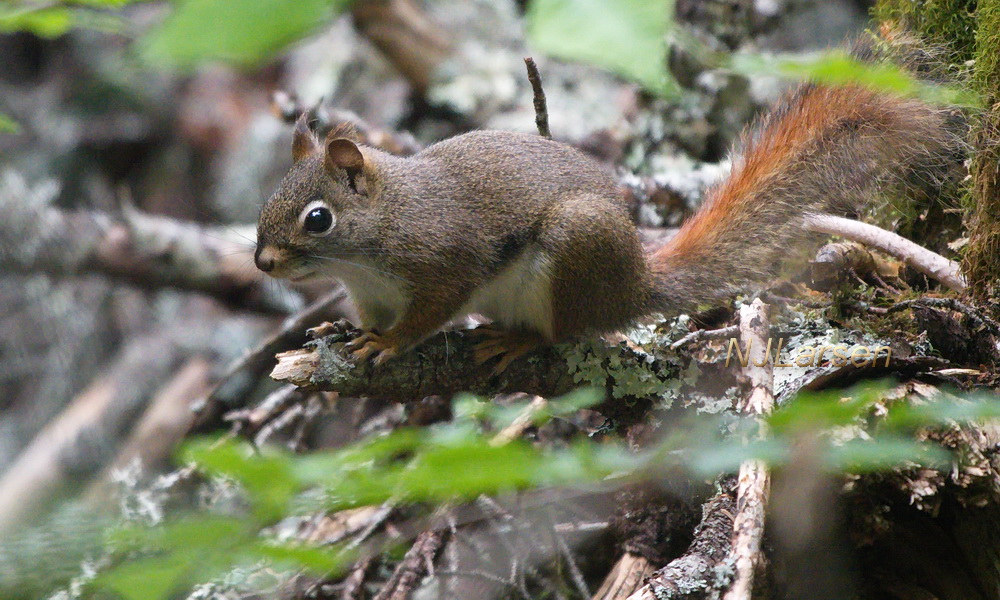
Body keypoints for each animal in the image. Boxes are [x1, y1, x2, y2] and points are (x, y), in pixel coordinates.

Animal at [256, 52, 960, 370]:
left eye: (317, 219)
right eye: (267, 202)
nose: (262, 262)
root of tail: (633, 286)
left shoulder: (441, 262)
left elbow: (427, 314)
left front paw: (390, 343)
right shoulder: (372, 291)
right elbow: (365, 317)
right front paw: (340, 331)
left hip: (574, 249)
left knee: (564, 332)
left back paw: (517, 339)